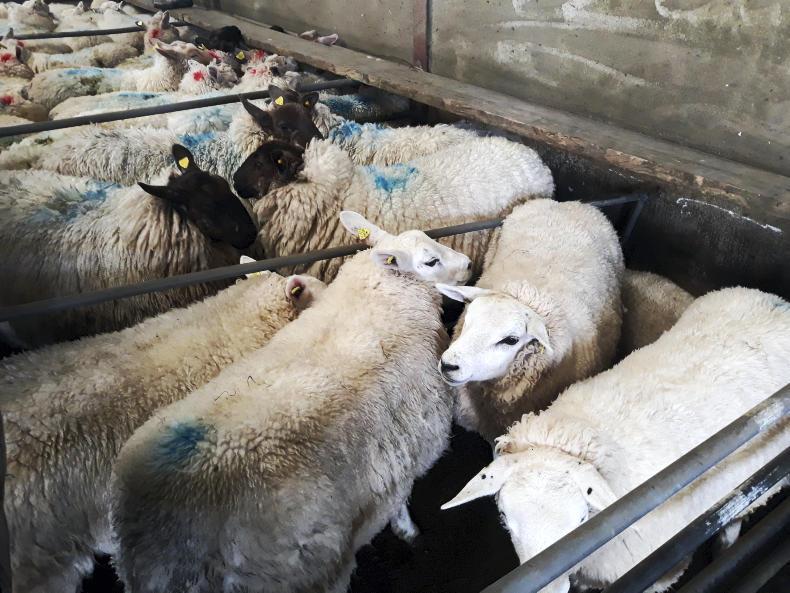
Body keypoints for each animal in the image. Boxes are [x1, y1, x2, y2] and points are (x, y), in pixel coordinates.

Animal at [110, 212, 471, 593]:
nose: (468, 264)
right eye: (430, 261)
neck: (379, 293)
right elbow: (399, 503)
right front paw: (408, 531)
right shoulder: (405, 447)